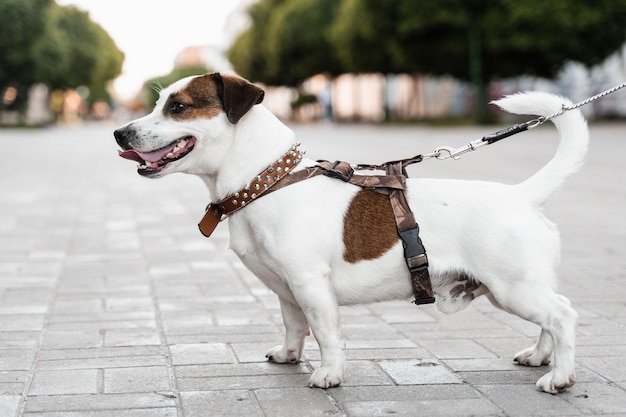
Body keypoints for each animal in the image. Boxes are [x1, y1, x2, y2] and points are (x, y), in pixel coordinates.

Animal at [114, 72, 588, 394]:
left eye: (178, 107)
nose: (120, 132)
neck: (266, 181)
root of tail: (521, 195)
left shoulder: (309, 284)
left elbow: (325, 333)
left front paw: (329, 374)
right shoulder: (286, 289)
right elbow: (294, 326)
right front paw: (288, 356)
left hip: (513, 288)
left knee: (563, 316)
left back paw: (559, 377)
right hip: (520, 289)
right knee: (556, 312)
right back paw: (540, 357)